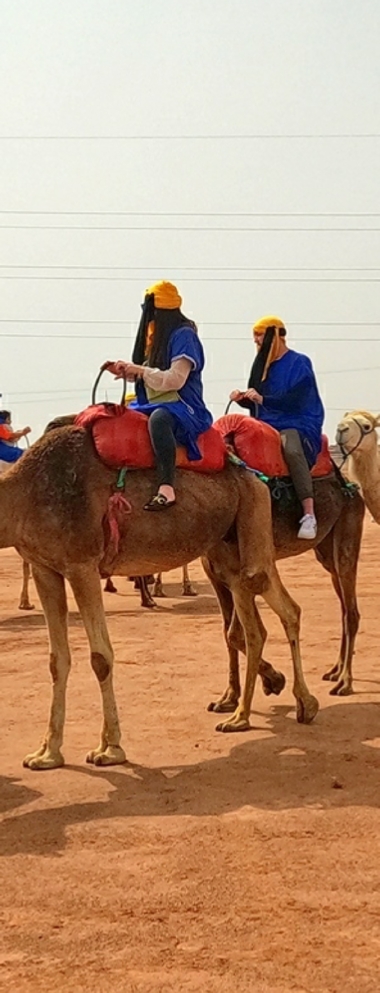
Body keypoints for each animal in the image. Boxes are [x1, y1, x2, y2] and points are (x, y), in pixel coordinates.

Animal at [0, 422, 318, 772]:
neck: (23, 495)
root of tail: (251, 472)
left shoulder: (82, 564)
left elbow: (101, 657)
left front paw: (110, 748)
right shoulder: (45, 567)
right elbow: (57, 660)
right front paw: (46, 754)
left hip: (253, 512)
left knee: (272, 600)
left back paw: (282, 708)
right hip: (226, 545)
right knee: (260, 620)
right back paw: (264, 708)